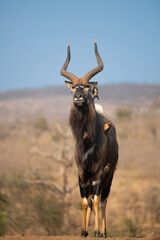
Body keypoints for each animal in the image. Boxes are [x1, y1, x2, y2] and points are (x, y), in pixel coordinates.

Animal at [60, 40, 118, 237]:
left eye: (86, 87)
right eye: (74, 87)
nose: (78, 97)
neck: (87, 142)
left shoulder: (99, 174)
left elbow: (97, 200)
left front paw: (96, 231)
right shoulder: (82, 174)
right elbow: (85, 201)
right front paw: (83, 231)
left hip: (109, 175)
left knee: (103, 200)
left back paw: (104, 232)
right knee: (93, 199)